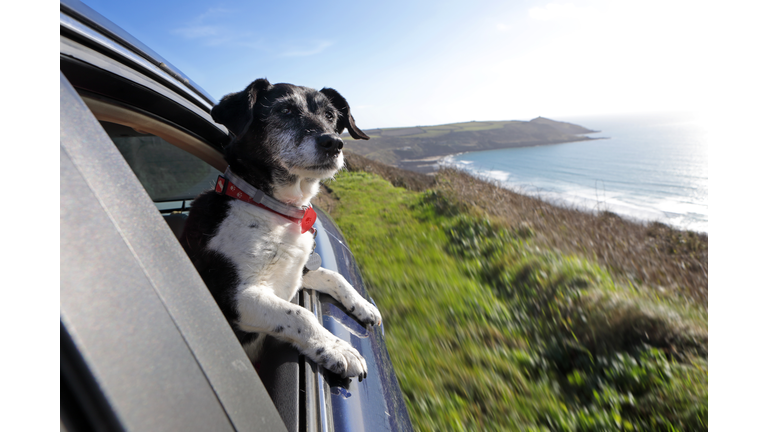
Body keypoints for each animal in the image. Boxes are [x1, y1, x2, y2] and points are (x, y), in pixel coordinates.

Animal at [181, 78, 384, 382]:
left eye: (330, 115)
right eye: (285, 110)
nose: (333, 143)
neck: (274, 211)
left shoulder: (297, 272)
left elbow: (333, 277)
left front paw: (362, 305)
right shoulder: (234, 296)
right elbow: (299, 315)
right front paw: (338, 349)